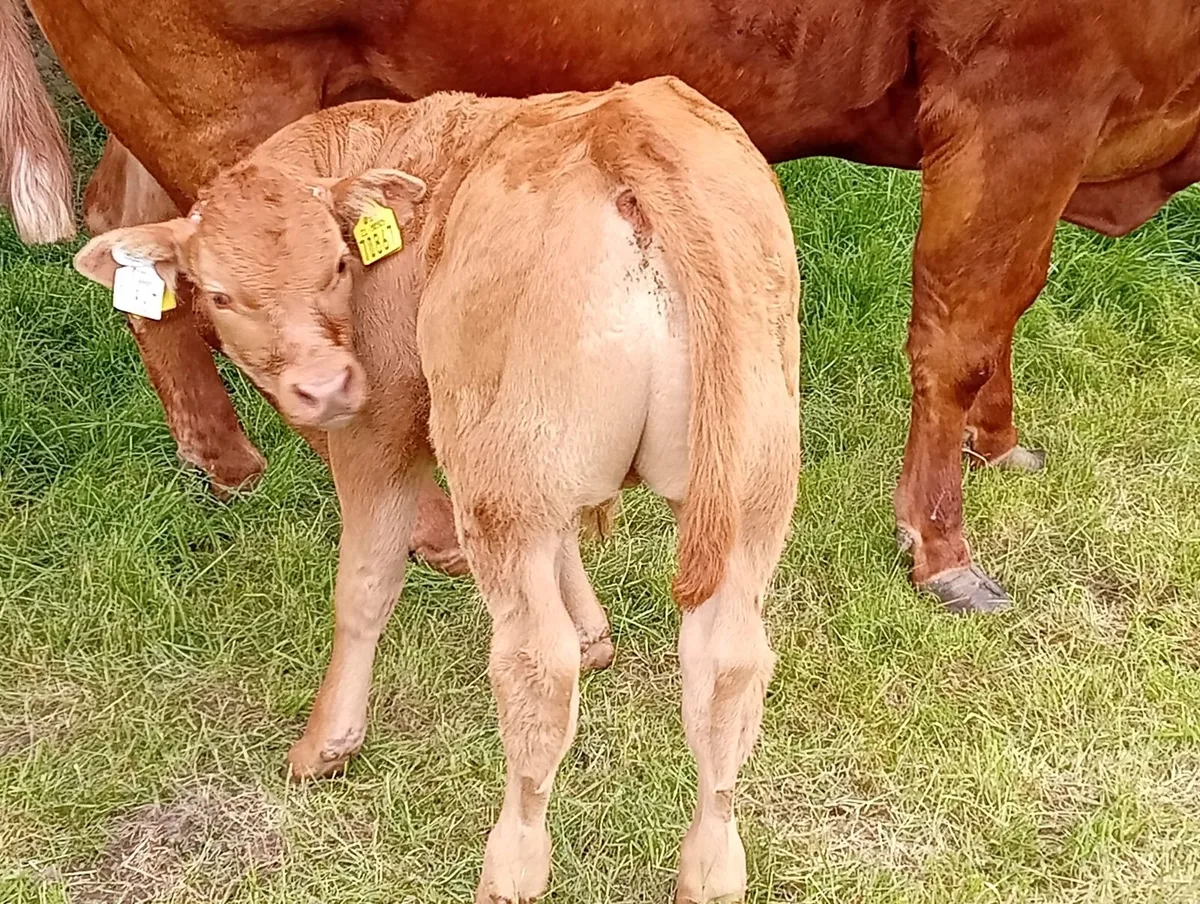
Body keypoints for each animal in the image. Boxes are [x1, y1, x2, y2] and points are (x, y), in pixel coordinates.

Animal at [22, 0, 1200, 612]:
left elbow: (1012, 303)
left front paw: (1000, 442)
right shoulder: (1027, 92)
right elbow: (961, 326)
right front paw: (943, 549)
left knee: (140, 247)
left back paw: (220, 462)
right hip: (224, 108)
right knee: (278, 343)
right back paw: (437, 537)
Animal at [72, 77, 803, 904]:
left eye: (336, 267)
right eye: (222, 295)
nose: (323, 386)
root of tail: (626, 119)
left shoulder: (379, 422)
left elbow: (364, 584)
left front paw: (327, 744)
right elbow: (569, 555)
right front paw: (595, 635)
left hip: (501, 484)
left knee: (535, 669)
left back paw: (511, 865)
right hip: (740, 489)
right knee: (727, 666)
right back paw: (711, 869)